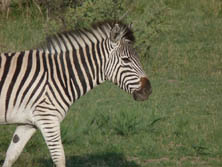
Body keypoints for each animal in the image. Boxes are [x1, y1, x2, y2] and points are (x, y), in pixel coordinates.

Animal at [0, 20, 152, 166]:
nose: (149, 90)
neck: (60, 76)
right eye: (126, 60)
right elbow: (59, 158)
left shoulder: (28, 123)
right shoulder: (48, 118)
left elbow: (11, 155)